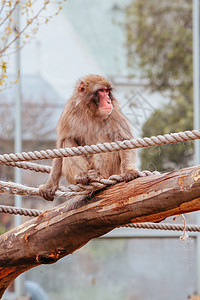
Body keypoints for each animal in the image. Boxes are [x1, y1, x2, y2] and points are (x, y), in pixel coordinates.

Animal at [39, 74, 139, 202]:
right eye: (101, 91)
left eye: (107, 91)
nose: (108, 101)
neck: (90, 111)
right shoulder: (68, 113)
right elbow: (61, 145)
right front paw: (50, 185)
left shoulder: (114, 111)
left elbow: (123, 140)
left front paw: (129, 171)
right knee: (68, 141)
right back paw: (81, 177)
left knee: (106, 137)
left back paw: (99, 175)